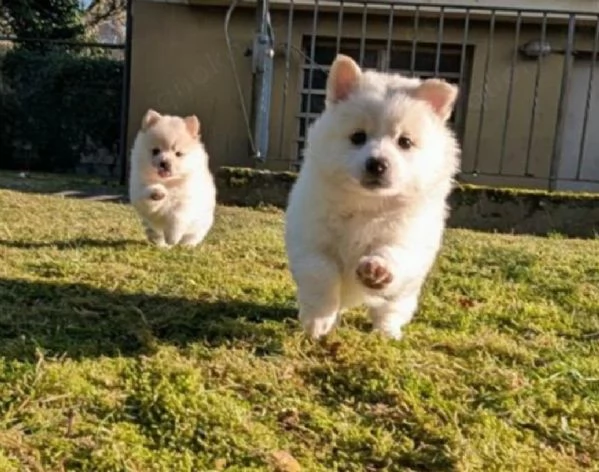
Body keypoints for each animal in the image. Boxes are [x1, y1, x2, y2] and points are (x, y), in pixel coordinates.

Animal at [129, 109, 218, 249]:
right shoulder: (139, 191)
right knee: (156, 235)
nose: (164, 162)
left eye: (178, 154)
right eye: (156, 151)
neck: (168, 183)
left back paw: (186, 245)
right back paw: (162, 246)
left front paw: (172, 237)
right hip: (151, 227)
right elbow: (147, 196)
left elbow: (177, 217)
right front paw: (157, 192)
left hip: (200, 225)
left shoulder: (186, 201)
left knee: (192, 236)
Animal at [284, 54, 462, 340]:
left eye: (405, 142)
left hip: (404, 294)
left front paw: (376, 270)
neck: (367, 203)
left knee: (390, 310)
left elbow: (391, 253)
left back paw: (387, 332)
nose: (377, 164)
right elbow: (322, 274)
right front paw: (318, 321)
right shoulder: (312, 240)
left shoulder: (407, 237)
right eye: (358, 137)